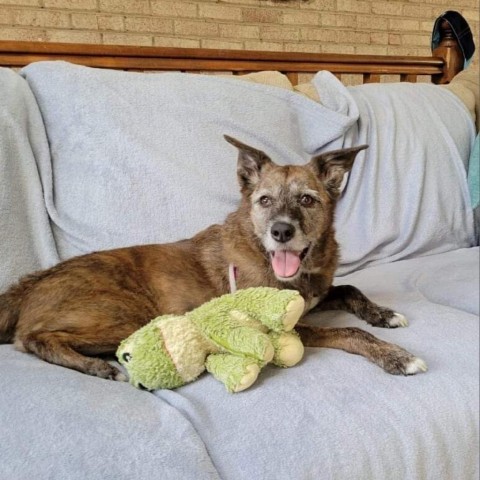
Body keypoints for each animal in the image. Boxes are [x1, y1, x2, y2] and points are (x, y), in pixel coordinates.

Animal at [0, 134, 428, 378]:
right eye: (264, 201)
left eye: (307, 199)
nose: (281, 232)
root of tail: (29, 284)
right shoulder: (282, 326)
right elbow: (348, 331)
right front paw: (396, 356)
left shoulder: (315, 295)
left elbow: (350, 288)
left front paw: (383, 314)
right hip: (125, 315)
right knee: (31, 339)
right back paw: (94, 365)